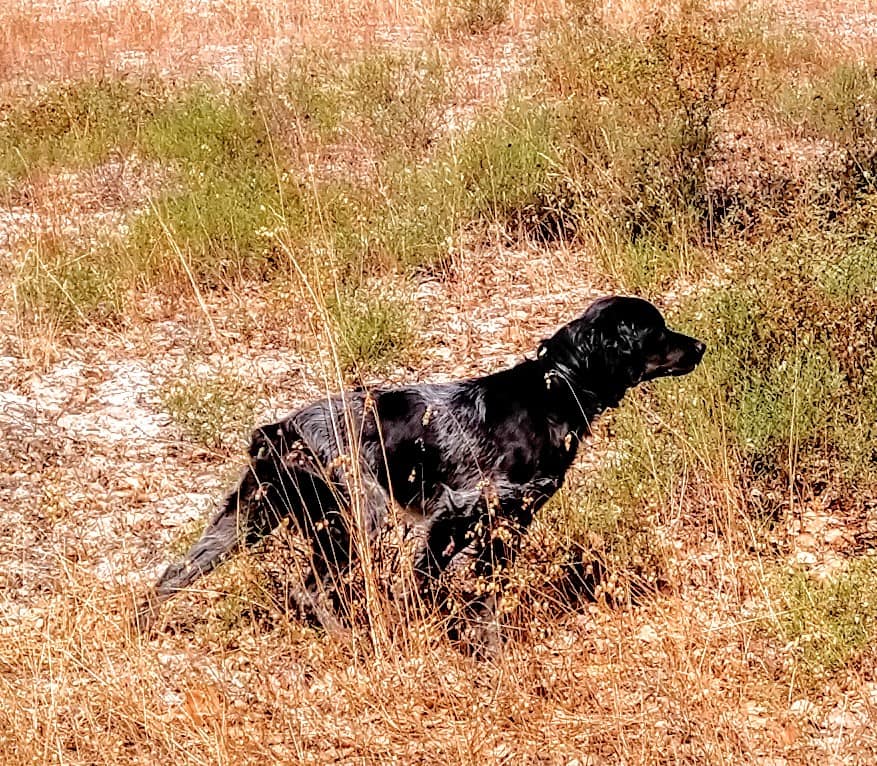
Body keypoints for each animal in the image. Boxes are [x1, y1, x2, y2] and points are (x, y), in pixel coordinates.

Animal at [139, 296, 704, 640]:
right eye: (655, 331)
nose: (700, 345)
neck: (553, 390)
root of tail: (282, 430)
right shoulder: (464, 511)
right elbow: (462, 594)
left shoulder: (498, 521)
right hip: (359, 518)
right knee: (307, 590)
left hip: (243, 520)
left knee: (170, 576)